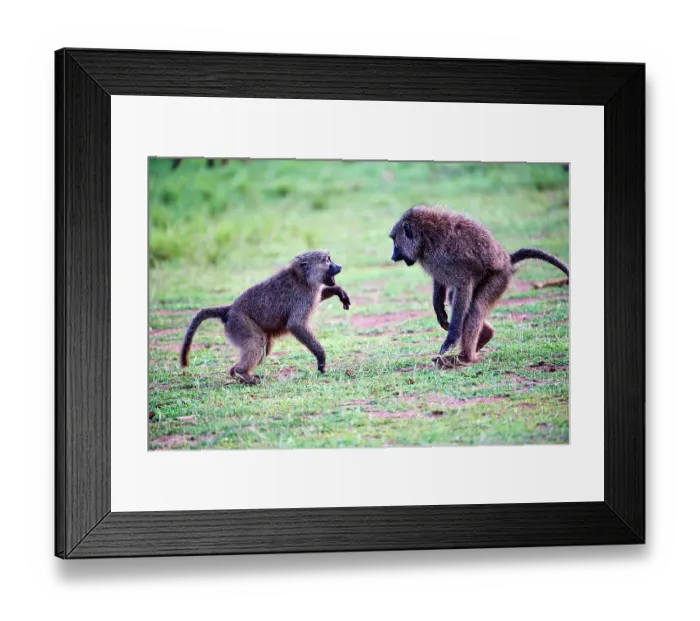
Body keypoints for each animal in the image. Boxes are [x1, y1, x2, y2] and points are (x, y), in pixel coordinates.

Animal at [179, 251, 351, 384]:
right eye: (327, 260)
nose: (339, 266)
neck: (302, 277)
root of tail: (229, 310)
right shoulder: (304, 298)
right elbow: (295, 324)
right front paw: (321, 358)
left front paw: (338, 291)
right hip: (239, 323)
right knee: (257, 343)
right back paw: (242, 373)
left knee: (263, 348)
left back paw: (238, 374)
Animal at [389, 205, 569, 366]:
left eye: (394, 241)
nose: (393, 256)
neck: (425, 240)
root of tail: (507, 259)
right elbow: (440, 282)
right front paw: (439, 310)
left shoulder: (449, 260)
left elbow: (463, 285)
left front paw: (451, 338)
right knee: (459, 300)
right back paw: (484, 336)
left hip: (498, 278)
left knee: (474, 306)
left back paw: (465, 358)